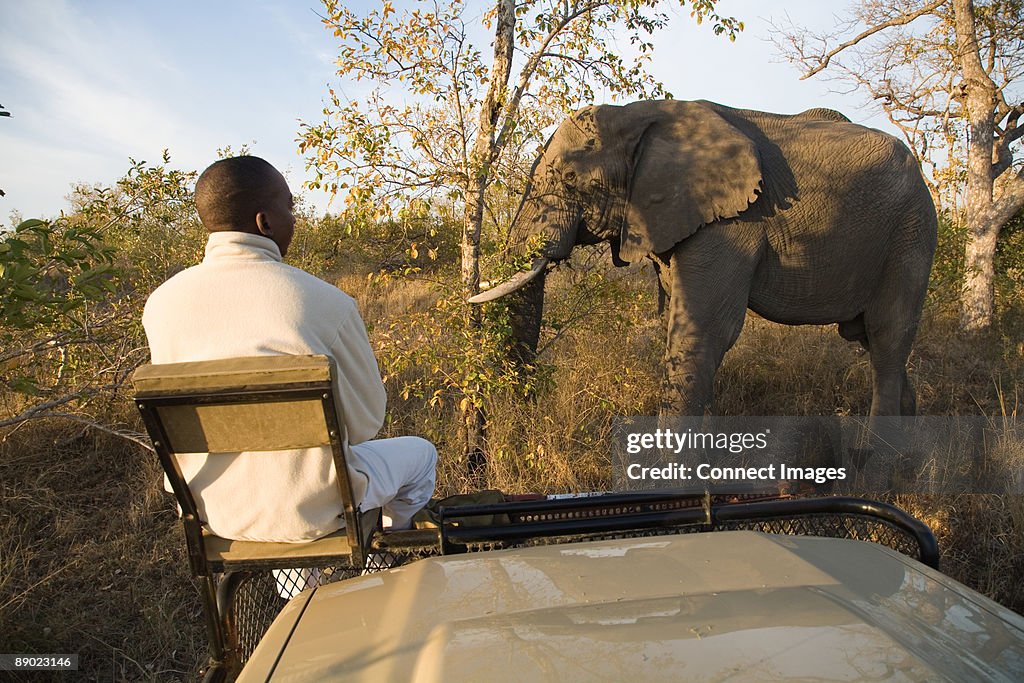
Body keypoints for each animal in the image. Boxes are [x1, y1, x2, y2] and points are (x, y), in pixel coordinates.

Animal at [468, 98, 937, 413]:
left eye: (569, 178)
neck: (640, 116)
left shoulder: (732, 222)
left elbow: (702, 332)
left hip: (911, 233)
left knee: (888, 339)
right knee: (871, 340)